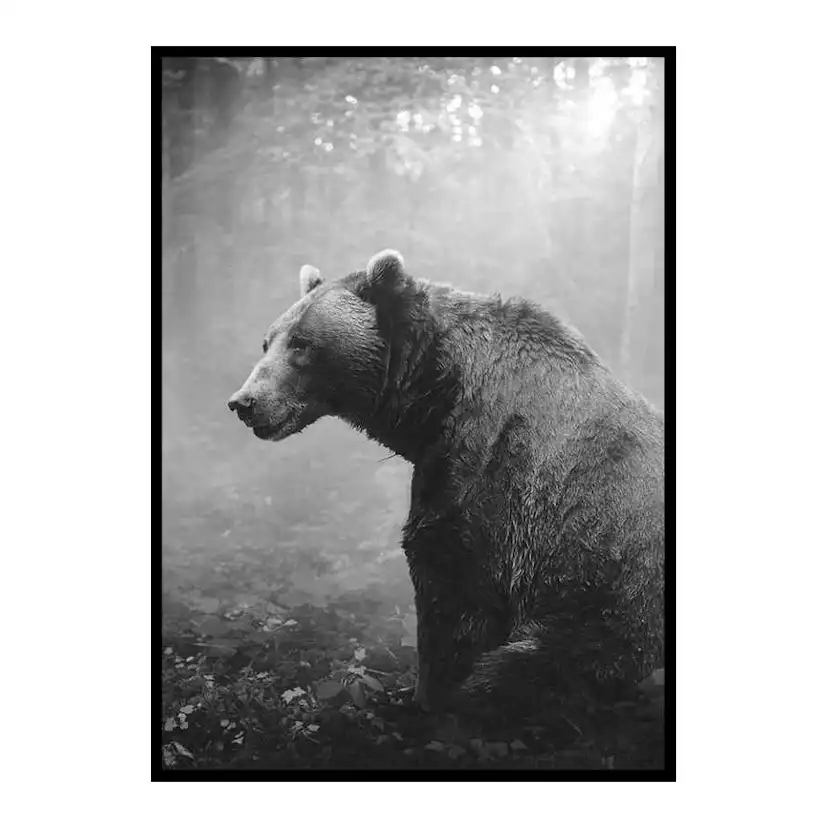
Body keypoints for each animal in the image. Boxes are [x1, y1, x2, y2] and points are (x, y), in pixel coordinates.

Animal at [228, 250, 664, 721]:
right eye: (268, 341)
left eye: (302, 344)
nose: (244, 402)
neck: (435, 396)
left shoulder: (493, 475)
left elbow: (453, 591)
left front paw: (426, 698)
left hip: (613, 607)